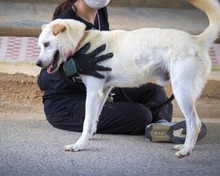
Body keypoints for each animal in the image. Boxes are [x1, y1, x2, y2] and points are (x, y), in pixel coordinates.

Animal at [36, 0, 220, 158]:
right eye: (40, 45)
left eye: (47, 44)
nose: (38, 63)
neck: (83, 41)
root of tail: (197, 40)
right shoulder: (103, 91)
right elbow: (94, 118)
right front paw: (90, 136)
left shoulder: (93, 92)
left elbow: (86, 121)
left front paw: (79, 145)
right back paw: (181, 144)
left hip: (182, 91)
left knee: (194, 124)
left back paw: (186, 150)